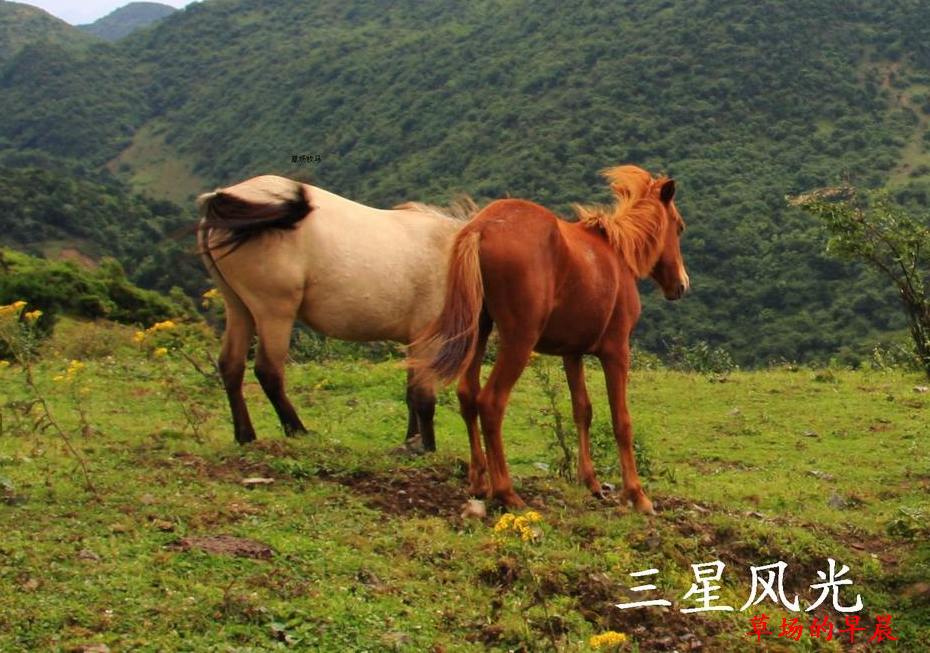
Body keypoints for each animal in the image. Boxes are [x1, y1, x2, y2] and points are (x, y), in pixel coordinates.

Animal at [196, 174, 472, 448]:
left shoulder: (414, 341)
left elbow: (411, 394)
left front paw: (411, 441)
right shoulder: (427, 339)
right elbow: (424, 398)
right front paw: (427, 448)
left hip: (238, 308)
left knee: (231, 366)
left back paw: (245, 436)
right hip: (273, 313)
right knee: (268, 370)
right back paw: (298, 430)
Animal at [410, 166, 684, 512]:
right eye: (680, 228)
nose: (682, 284)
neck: (616, 253)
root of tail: (481, 228)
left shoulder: (573, 354)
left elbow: (582, 410)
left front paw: (591, 481)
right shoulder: (616, 352)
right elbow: (621, 420)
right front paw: (637, 495)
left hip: (478, 331)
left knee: (467, 395)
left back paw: (479, 481)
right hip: (518, 341)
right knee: (491, 402)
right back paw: (506, 492)